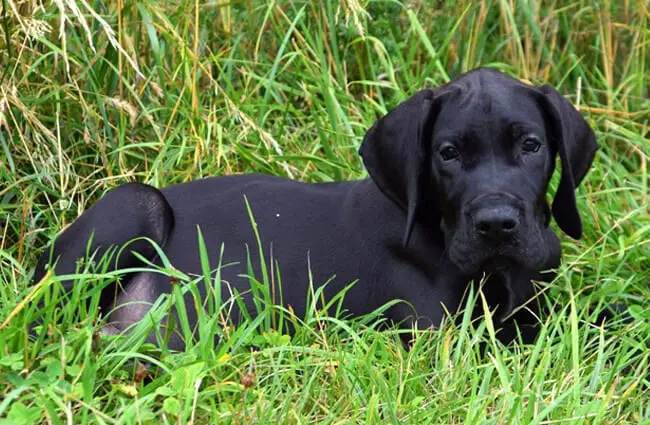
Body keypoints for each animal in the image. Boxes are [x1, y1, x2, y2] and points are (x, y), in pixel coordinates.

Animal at [33, 68, 596, 350]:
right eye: (449, 153)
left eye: (531, 146)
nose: (497, 226)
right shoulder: (439, 338)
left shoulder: (535, 308)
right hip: (137, 202)